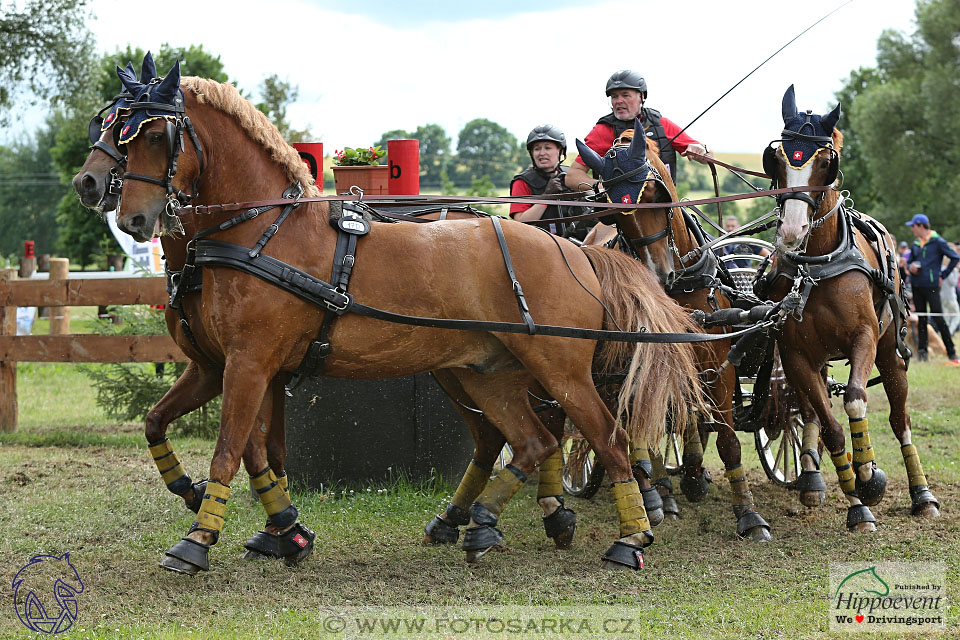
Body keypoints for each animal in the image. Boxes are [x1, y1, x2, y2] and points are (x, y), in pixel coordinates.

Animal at [84, 58, 704, 576]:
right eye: (109, 127)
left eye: (153, 134)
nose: (101, 194)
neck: (261, 231)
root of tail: (573, 250)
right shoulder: (223, 366)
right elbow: (190, 431)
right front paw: (277, 528)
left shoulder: (250, 364)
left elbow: (231, 451)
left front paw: (197, 540)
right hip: (484, 373)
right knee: (530, 441)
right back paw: (480, 525)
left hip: (561, 370)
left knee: (609, 438)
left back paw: (630, 537)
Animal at [576, 121, 772, 540]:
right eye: (615, 211)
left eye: (654, 195)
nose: (657, 275)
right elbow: (644, 430)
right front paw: (658, 492)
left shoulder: (718, 363)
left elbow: (727, 439)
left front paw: (748, 514)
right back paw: (656, 491)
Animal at [756, 85, 936, 528]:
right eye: (778, 159)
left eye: (826, 162)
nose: (792, 229)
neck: (817, 266)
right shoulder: (796, 355)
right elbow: (829, 425)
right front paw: (857, 504)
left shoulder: (864, 338)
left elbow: (855, 399)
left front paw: (869, 473)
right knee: (805, 411)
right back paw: (812, 481)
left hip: (891, 351)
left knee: (900, 418)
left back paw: (922, 494)